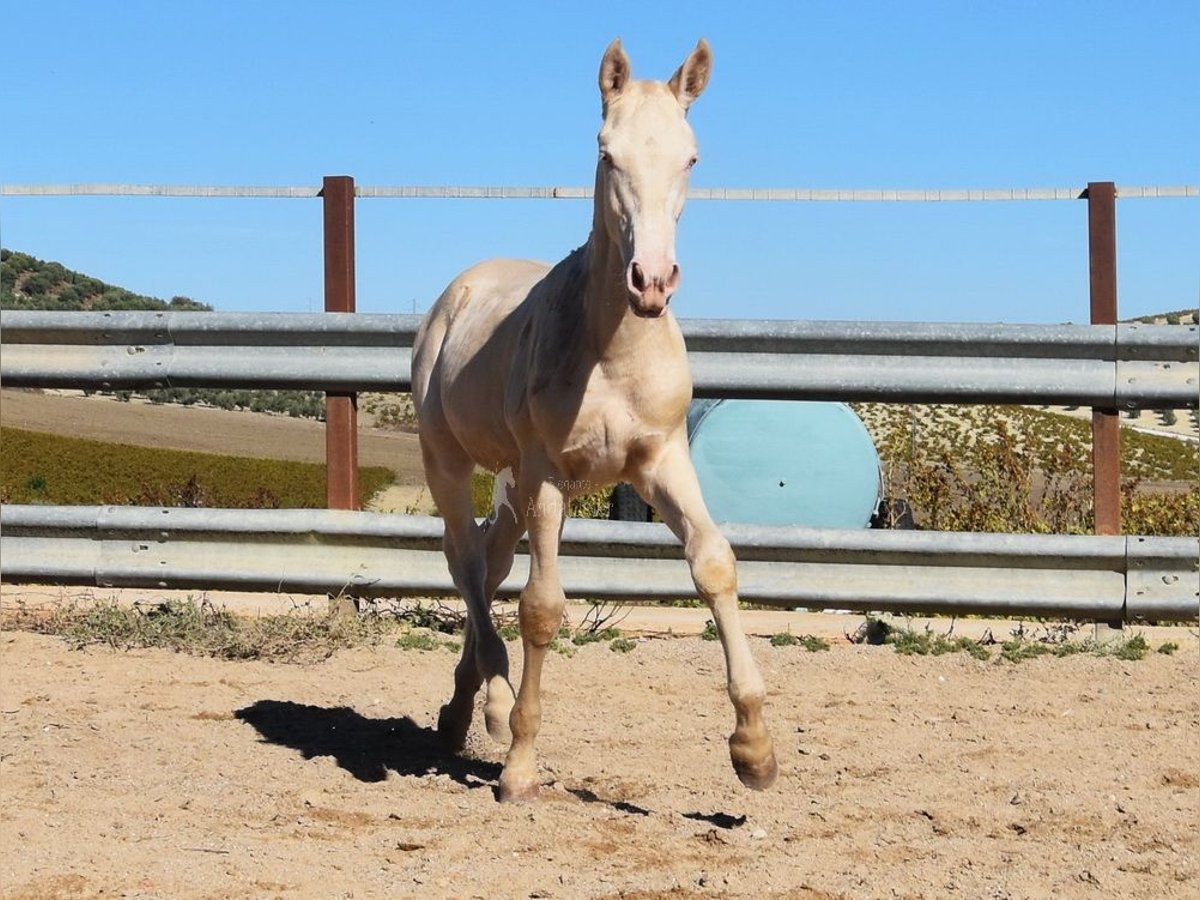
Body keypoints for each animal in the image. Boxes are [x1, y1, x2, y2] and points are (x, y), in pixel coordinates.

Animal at [412, 37, 777, 801]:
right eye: (607, 152)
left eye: (691, 157)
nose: (652, 281)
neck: (612, 353)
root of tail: (459, 290)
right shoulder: (548, 472)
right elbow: (543, 608)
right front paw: (520, 765)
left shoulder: (662, 459)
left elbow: (715, 565)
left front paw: (754, 750)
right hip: (451, 461)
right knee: (467, 561)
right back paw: (492, 707)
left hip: (514, 480)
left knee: (489, 560)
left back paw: (465, 708)